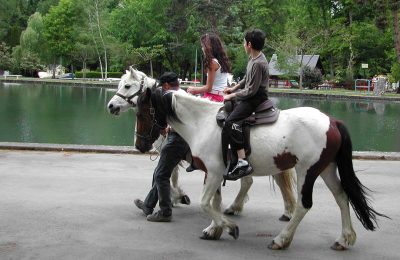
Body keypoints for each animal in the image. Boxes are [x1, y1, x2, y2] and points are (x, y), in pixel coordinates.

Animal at [106, 67, 296, 219]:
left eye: (127, 86)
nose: (111, 106)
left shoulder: (171, 152)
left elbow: (168, 175)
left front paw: (176, 196)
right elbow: (171, 175)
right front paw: (176, 197)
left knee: (252, 181)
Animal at [134, 87, 388, 250]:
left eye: (141, 112)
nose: (140, 145)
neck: (202, 123)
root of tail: (332, 121)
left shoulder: (214, 172)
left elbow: (206, 203)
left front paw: (230, 228)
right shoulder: (212, 173)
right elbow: (214, 202)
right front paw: (214, 229)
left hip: (307, 171)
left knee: (303, 205)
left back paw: (281, 240)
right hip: (326, 169)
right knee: (342, 198)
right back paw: (344, 238)